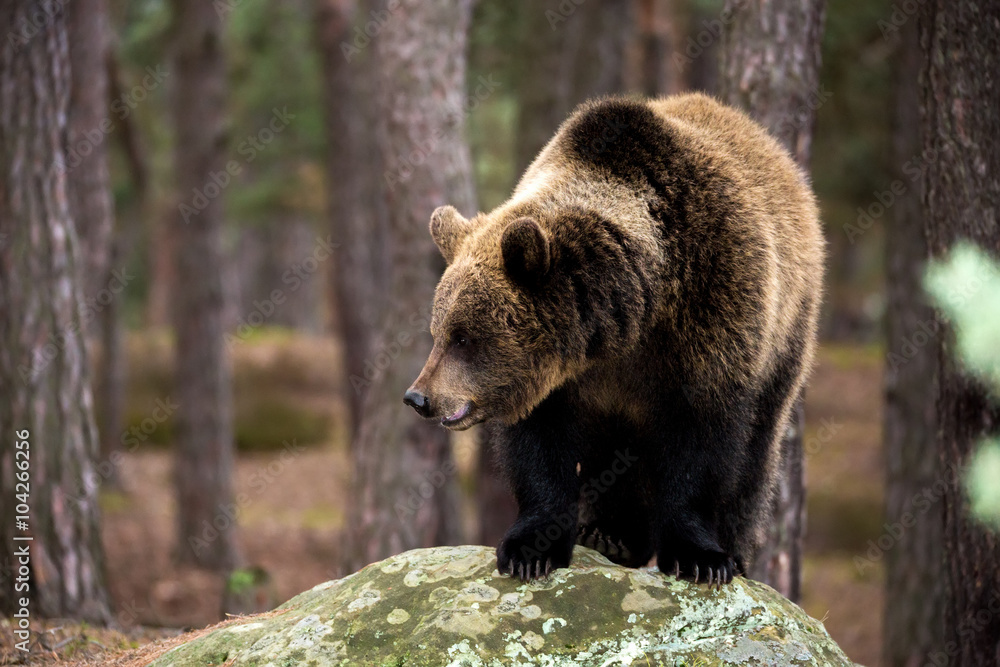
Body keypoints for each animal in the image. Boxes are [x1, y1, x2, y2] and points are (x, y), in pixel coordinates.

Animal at [404, 93, 824, 586]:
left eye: (464, 337)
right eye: (438, 332)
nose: (419, 397)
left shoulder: (713, 311)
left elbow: (701, 441)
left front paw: (701, 557)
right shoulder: (559, 381)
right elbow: (539, 449)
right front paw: (531, 548)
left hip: (788, 333)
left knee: (758, 445)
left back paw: (733, 549)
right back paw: (611, 535)